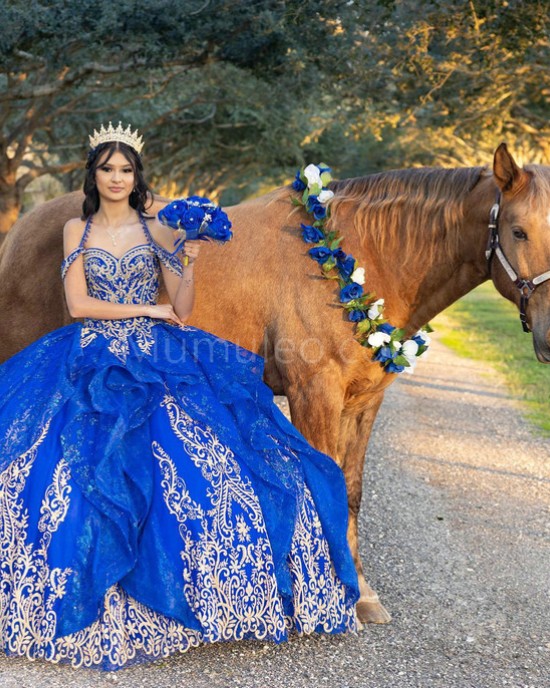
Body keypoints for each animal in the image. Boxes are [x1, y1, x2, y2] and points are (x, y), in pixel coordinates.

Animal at [1, 144, 550, 624]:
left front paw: (361, 593)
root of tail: (21, 228)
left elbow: (351, 489)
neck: (356, 259)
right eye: (518, 232)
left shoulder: (365, 401)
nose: (548, 334)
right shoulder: (316, 395)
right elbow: (326, 481)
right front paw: (330, 597)